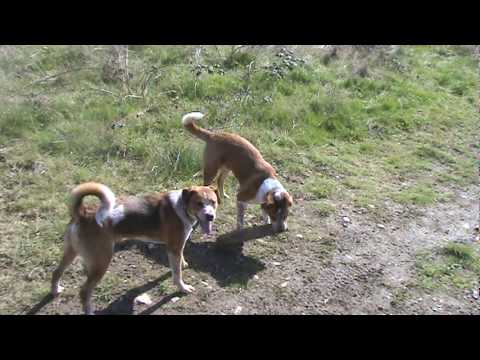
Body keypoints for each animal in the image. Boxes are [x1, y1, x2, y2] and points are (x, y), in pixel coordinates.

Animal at [50, 181, 219, 314]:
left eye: (213, 202)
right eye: (199, 203)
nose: (210, 216)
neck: (182, 206)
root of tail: (83, 213)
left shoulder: (178, 246)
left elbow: (180, 261)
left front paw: (183, 264)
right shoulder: (173, 248)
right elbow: (177, 275)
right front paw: (183, 288)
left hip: (71, 251)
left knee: (56, 272)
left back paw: (55, 290)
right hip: (101, 261)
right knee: (84, 291)